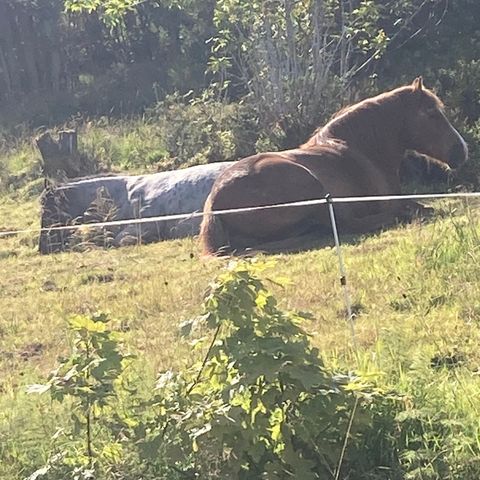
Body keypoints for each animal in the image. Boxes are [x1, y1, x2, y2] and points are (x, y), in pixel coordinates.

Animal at [199, 79, 468, 256]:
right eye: (432, 114)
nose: (462, 150)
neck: (362, 150)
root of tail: (215, 204)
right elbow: (421, 207)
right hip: (311, 185)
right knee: (343, 225)